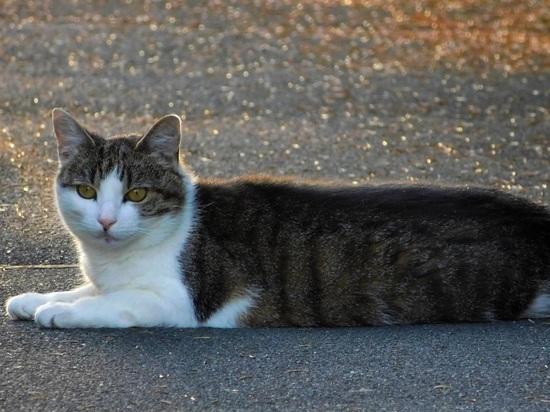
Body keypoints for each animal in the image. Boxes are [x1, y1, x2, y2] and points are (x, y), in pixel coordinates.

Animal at [5, 109, 550, 328]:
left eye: (137, 193)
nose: (106, 222)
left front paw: (63, 312)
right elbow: (82, 289)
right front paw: (36, 298)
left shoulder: (181, 301)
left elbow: (110, 304)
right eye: (87, 191)